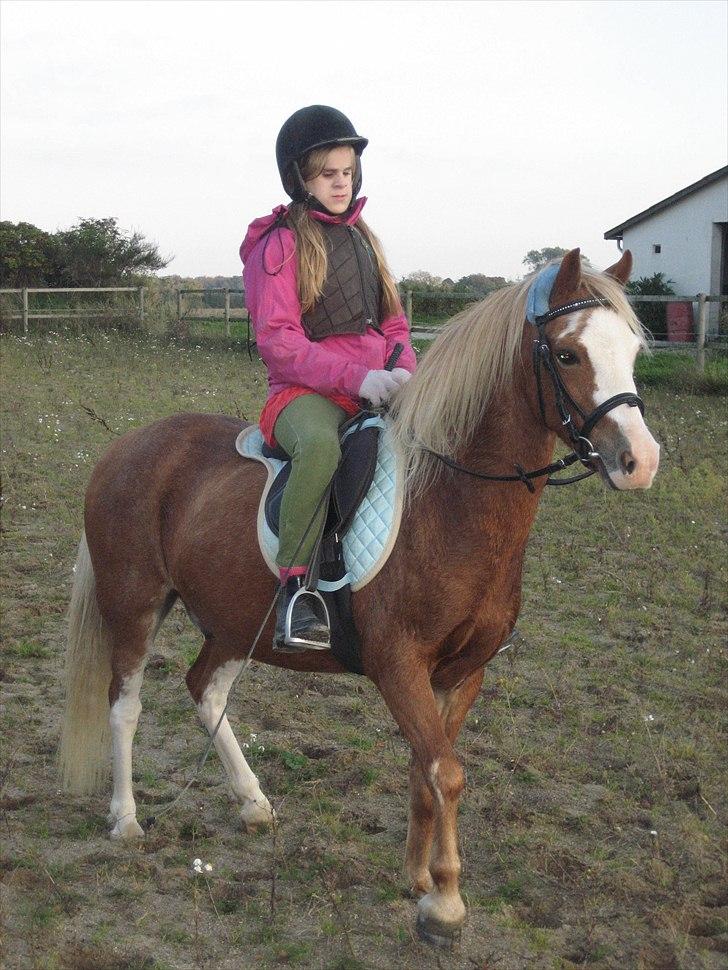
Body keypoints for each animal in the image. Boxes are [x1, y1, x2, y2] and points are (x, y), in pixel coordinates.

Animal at [58, 251, 660, 944]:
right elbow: (445, 771)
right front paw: (445, 905)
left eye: (633, 350)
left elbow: (428, 767)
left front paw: (418, 880)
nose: (640, 460)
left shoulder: (463, 672)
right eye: (567, 354)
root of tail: (126, 446)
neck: (449, 499)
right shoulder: (398, 663)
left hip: (238, 621)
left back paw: (254, 803)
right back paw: (126, 818)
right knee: (124, 705)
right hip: (134, 605)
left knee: (205, 689)